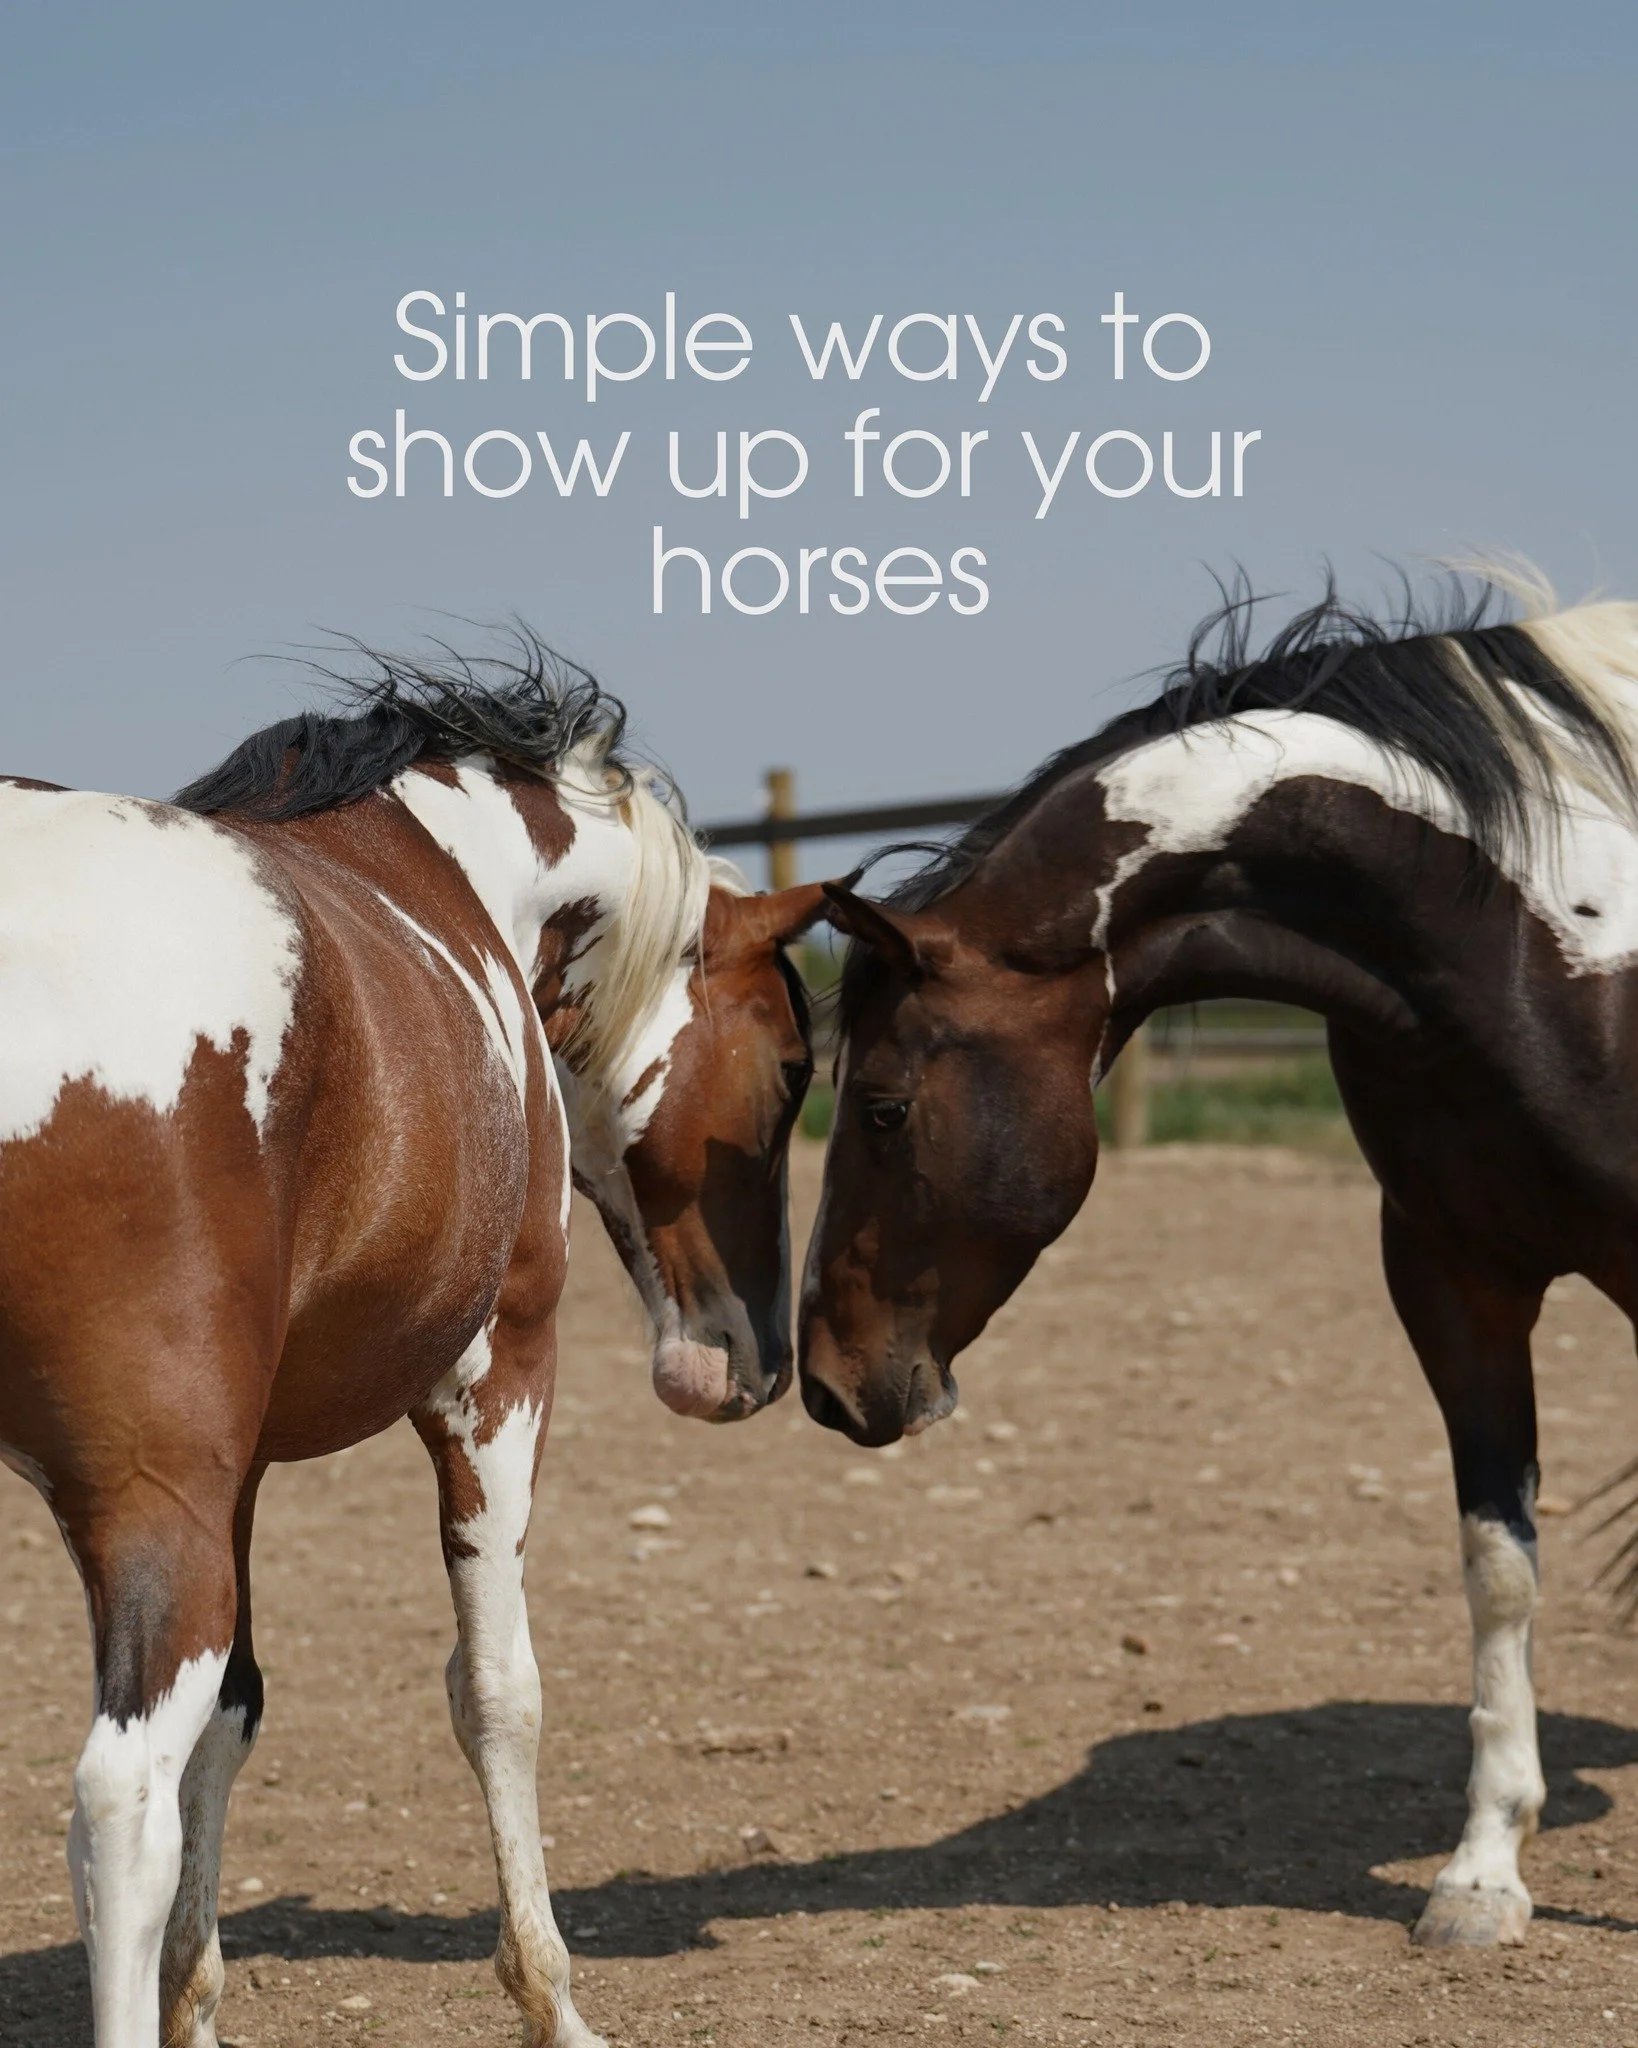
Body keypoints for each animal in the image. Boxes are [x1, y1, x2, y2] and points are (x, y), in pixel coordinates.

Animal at [0, 634, 824, 2048]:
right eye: (789, 1068)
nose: (751, 1360)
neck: (455, 871)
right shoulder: (498, 1376)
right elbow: (497, 1689)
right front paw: (551, 1997)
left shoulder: (243, 1466)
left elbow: (234, 1716)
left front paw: (196, 2004)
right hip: (149, 1500)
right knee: (118, 1807)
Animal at [801, 575, 1638, 1952]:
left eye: (879, 1105)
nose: (826, 1380)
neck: (1547, 946)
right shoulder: (1456, 1279)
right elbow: (1501, 1565)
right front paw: (1481, 1874)